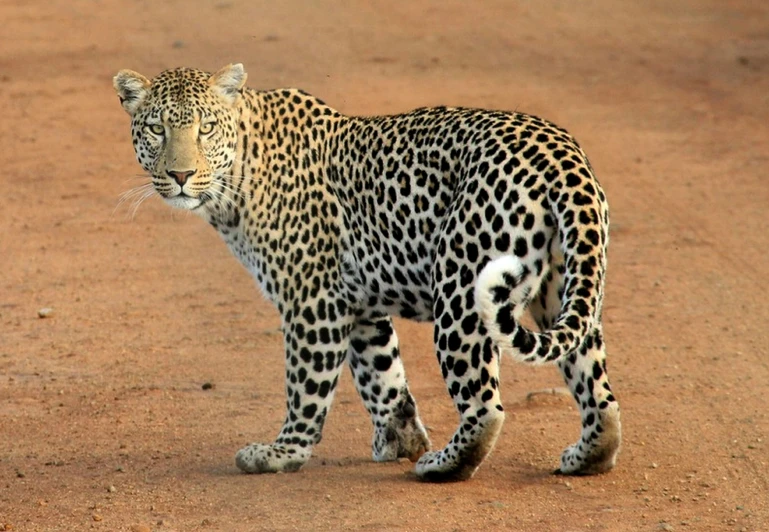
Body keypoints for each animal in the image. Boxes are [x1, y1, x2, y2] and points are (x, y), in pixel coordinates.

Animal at [112, 63, 616, 482]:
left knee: (485, 406)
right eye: (157, 129)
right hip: (564, 288)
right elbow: (383, 375)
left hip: (461, 291)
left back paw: (443, 465)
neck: (237, 177)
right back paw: (587, 456)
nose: (180, 175)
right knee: (597, 389)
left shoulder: (312, 300)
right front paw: (401, 439)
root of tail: (562, 155)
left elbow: (306, 386)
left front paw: (282, 453)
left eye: (206, 128)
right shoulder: (358, 304)